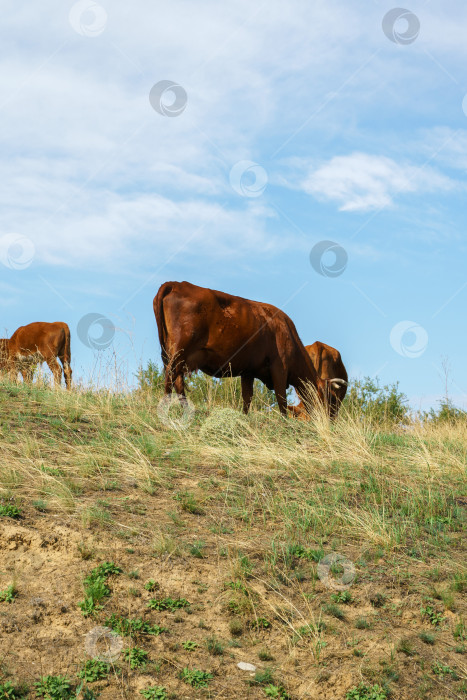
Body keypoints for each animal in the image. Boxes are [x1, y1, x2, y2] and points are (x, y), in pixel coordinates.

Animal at [154, 282, 348, 418]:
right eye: (331, 397)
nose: (329, 420)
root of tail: (176, 284)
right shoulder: (279, 368)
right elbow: (281, 399)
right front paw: (285, 423)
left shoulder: (248, 371)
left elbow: (247, 398)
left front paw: (244, 419)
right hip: (179, 351)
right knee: (170, 378)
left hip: (177, 356)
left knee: (178, 382)